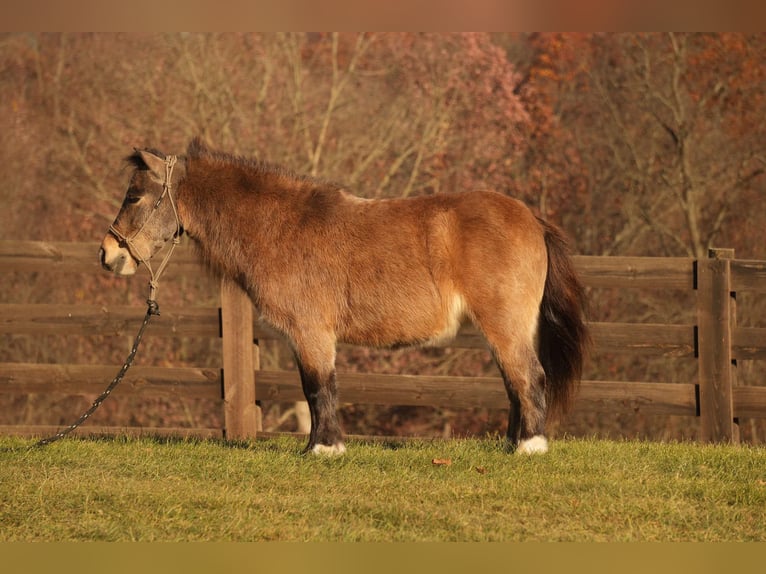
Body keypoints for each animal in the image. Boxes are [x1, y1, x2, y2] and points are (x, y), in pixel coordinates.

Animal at [102, 137, 592, 456]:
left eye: (134, 196)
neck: (280, 227)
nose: (108, 255)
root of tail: (531, 218)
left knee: (528, 377)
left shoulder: (311, 332)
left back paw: (529, 447)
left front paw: (324, 449)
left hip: (504, 325)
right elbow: (314, 388)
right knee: (515, 381)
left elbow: (319, 386)